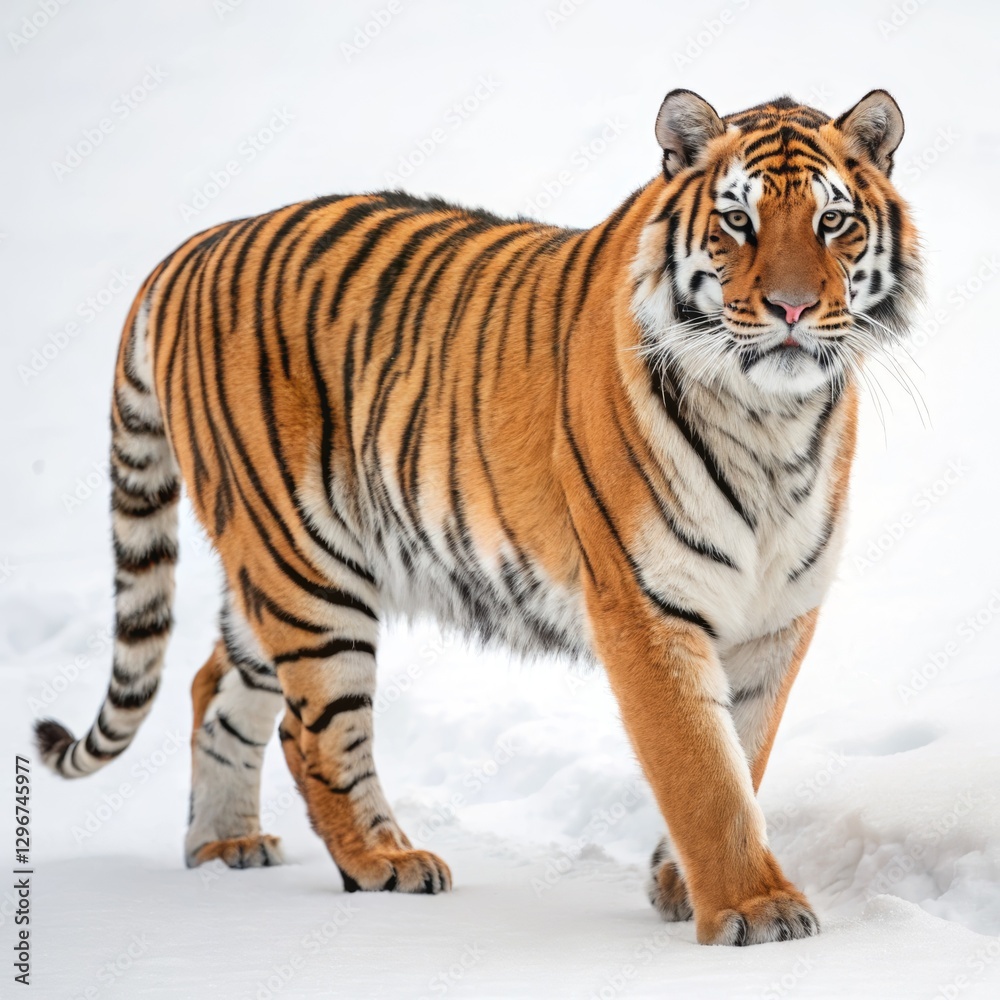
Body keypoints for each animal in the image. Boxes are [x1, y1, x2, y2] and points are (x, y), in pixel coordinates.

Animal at [35, 87, 922, 946]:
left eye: (832, 221)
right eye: (739, 221)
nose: (792, 309)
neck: (774, 423)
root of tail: (188, 250)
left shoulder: (777, 611)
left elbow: (746, 751)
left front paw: (680, 883)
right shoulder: (645, 605)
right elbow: (703, 772)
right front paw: (754, 908)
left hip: (275, 576)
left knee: (215, 685)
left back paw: (225, 846)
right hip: (305, 569)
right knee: (312, 733)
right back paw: (385, 861)